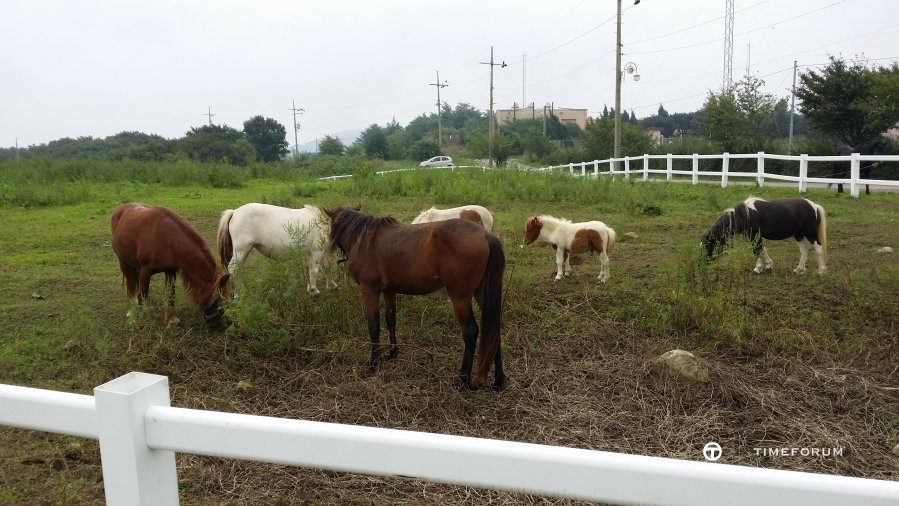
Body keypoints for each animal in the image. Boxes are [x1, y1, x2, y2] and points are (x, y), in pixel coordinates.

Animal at [326, 206, 506, 392]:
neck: (365, 240)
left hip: (460, 298)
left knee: (471, 331)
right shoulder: (389, 290)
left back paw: (462, 379)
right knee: (493, 329)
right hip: (483, 293)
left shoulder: (370, 290)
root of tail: (485, 235)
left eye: (332, 225)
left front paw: (374, 364)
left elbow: (373, 326)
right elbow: (390, 319)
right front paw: (393, 353)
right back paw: (498, 381)